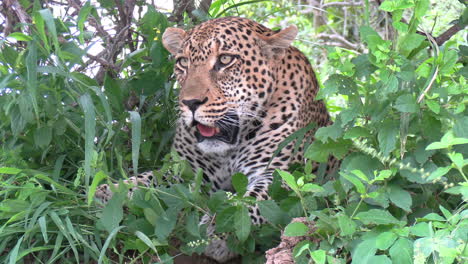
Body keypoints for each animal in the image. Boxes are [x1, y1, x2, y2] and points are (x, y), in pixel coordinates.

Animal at [95, 16, 336, 262]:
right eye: (183, 62)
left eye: (225, 59)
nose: (190, 103)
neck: (228, 150)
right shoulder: (185, 171)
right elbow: (142, 182)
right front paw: (100, 193)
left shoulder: (278, 175)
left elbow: (252, 200)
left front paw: (218, 230)